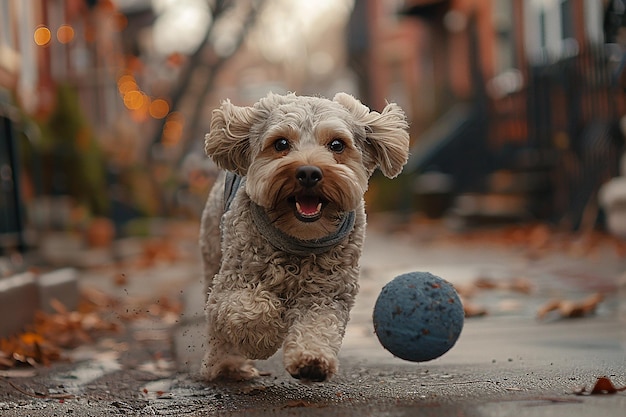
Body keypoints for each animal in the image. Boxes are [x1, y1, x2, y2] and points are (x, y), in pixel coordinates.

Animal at [197, 92, 408, 382]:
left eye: (337, 145)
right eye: (281, 143)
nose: (308, 172)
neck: (299, 239)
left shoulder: (328, 293)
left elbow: (319, 324)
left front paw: (312, 360)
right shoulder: (233, 281)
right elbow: (250, 308)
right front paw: (265, 337)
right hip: (212, 257)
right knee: (216, 325)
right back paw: (227, 364)